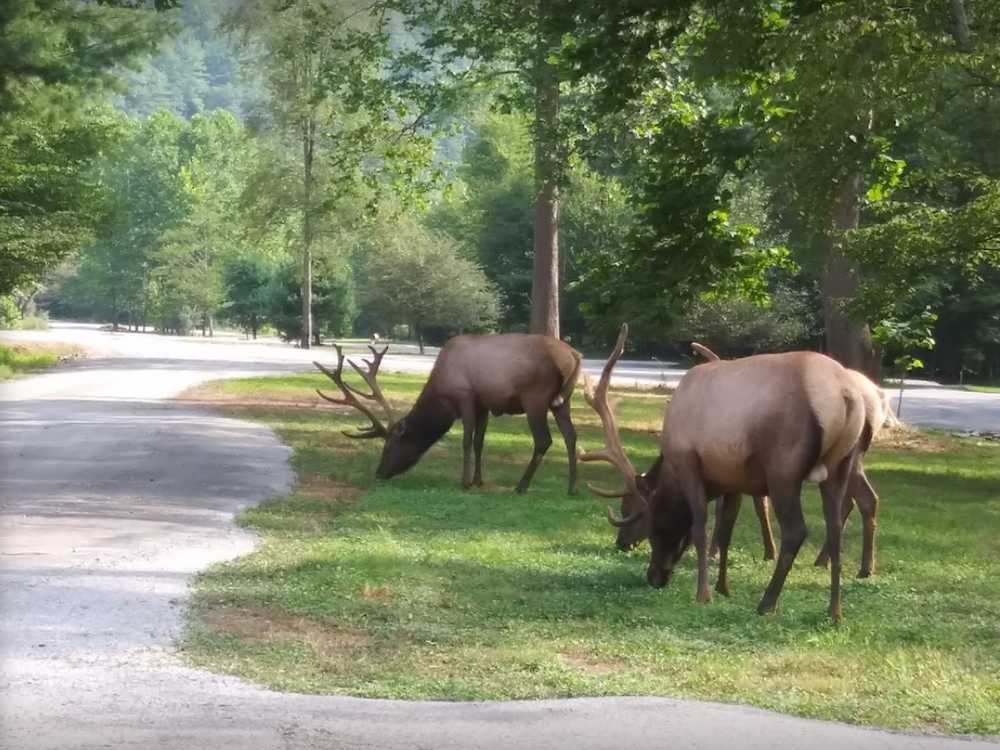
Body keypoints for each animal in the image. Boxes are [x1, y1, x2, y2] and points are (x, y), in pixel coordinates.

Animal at [316, 334, 584, 494]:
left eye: (389, 446)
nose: (379, 473)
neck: (441, 394)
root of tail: (574, 357)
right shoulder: (483, 404)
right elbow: (479, 442)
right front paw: (477, 480)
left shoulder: (465, 396)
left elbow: (466, 440)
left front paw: (464, 482)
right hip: (563, 401)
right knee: (571, 436)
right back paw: (572, 488)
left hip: (535, 397)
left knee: (544, 440)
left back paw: (521, 486)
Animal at [584, 324, 888, 624]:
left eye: (651, 525)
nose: (654, 577)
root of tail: (847, 396)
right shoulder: (732, 478)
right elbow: (726, 529)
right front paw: (723, 587)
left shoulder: (689, 462)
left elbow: (701, 526)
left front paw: (703, 593)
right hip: (841, 465)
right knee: (836, 525)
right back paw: (835, 610)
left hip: (784, 468)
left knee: (796, 530)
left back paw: (767, 603)